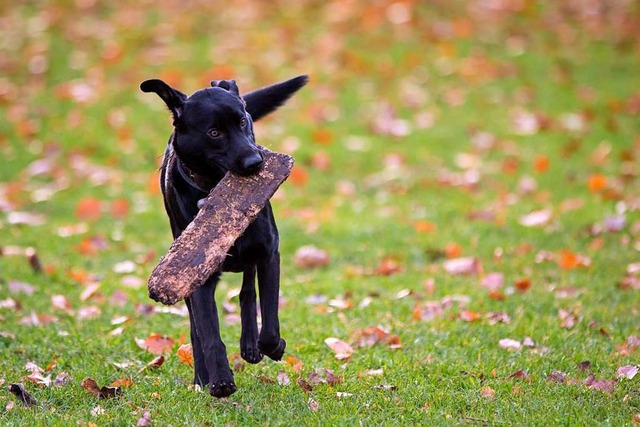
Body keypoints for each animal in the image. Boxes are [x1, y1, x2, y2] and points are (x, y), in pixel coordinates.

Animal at [141, 74, 306, 398]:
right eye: (214, 133)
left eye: (243, 121)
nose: (256, 162)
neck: (213, 190)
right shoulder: (194, 275)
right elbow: (207, 331)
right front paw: (219, 381)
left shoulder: (269, 254)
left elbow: (269, 321)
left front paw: (273, 346)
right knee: (196, 327)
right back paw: (201, 378)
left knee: (247, 292)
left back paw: (250, 346)